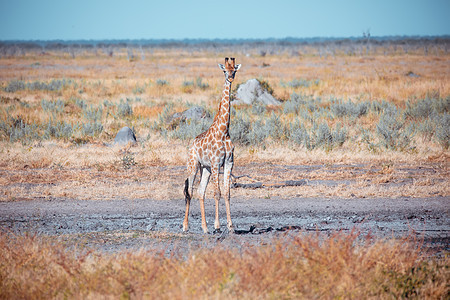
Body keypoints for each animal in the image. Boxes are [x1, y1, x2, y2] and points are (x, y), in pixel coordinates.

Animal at [183, 57, 241, 233]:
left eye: (234, 70)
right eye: (224, 70)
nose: (230, 78)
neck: (224, 131)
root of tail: (192, 144)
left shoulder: (228, 163)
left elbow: (227, 193)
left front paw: (231, 226)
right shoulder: (216, 163)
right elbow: (217, 193)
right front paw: (217, 225)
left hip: (205, 168)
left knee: (200, 191)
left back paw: (204, 227)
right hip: (193, 165)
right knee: (189, 191)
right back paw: (185, 226)